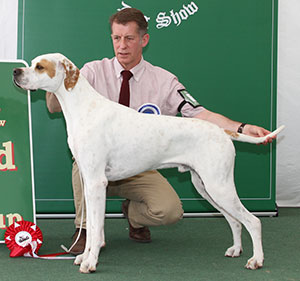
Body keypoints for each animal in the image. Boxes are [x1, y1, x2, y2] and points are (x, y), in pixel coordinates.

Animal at [12, 52, 284, 272]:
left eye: (39, 66)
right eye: (32, 63)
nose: (16, 71)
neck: (83, 108)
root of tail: (223, 131)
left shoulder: (97, 183)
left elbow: (97, 229)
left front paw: (90, 263)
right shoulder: (88, 183)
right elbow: (92, 231)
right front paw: (84, 256)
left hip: (220, 187)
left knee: (253, 221)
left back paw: (256, 260)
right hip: (207, 188)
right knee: (235, 221)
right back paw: (236, 250)